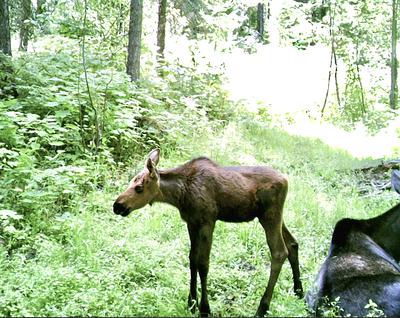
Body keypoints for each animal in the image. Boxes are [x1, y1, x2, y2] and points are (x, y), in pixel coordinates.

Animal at [113, 148, 304, 316]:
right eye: (131, 182)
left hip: (269, 216)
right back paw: (298, 291)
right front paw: (191, 302)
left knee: (279, 252)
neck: (180, 195)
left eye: (139, 187)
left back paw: (262, 308)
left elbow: (203, 264)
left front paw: (204, 308)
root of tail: (286, 180)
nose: (117, 206)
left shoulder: (208, 221)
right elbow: (192, 259)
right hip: (274, 217)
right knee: (293, 243)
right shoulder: (191, 223)